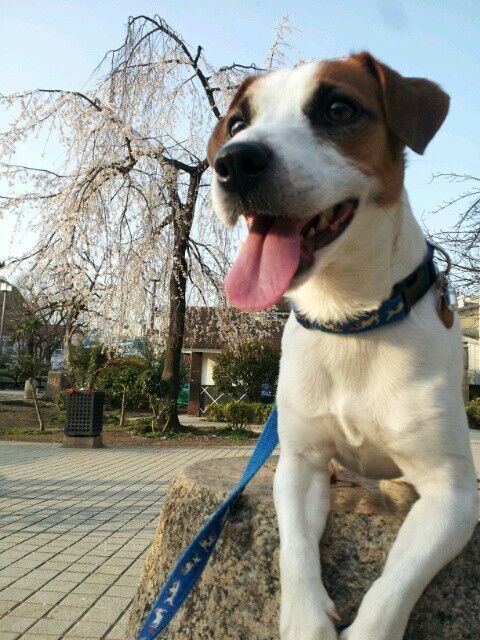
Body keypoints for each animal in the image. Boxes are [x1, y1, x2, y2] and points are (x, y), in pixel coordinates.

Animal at [207, 52, 478, 640]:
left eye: (337, 109)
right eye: (238, 123)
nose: (233, 161)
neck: (351, 319)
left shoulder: (452, 493)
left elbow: (397, 579)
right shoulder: (301, 463)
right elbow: (295, 550)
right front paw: (305, 619)